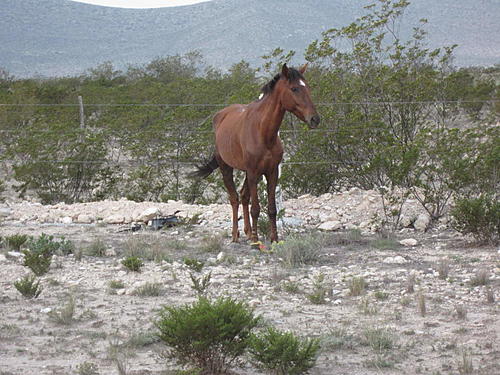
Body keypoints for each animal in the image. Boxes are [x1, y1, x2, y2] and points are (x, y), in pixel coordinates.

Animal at [191, 63, 320, 242]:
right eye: (294, 88)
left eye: (307, 87)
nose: (315, 119)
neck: (263, 132)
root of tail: (220, 115)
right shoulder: (253, 172)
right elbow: (256, 209)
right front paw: (255, 240)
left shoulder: (271, 173)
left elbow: (272, 209)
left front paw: (273, 239)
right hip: (227, 168)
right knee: (234, 199)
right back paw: (236, 235)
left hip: (251, 174)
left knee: (244, 196)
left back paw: (247, 231)